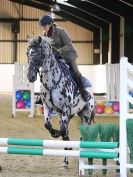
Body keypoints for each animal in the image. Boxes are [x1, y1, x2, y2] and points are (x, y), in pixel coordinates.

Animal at [26, 35, 95, 166]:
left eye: (38, 54)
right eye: (27, 53)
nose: (30, 77)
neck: (51, 81)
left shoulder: (66, 108)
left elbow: (63, 131)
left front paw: (59, 134)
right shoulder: (48, 106)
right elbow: (48, 125)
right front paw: (55, 133)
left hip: (86, 113)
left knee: (84, 134)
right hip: (62, 114)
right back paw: (65, 160)